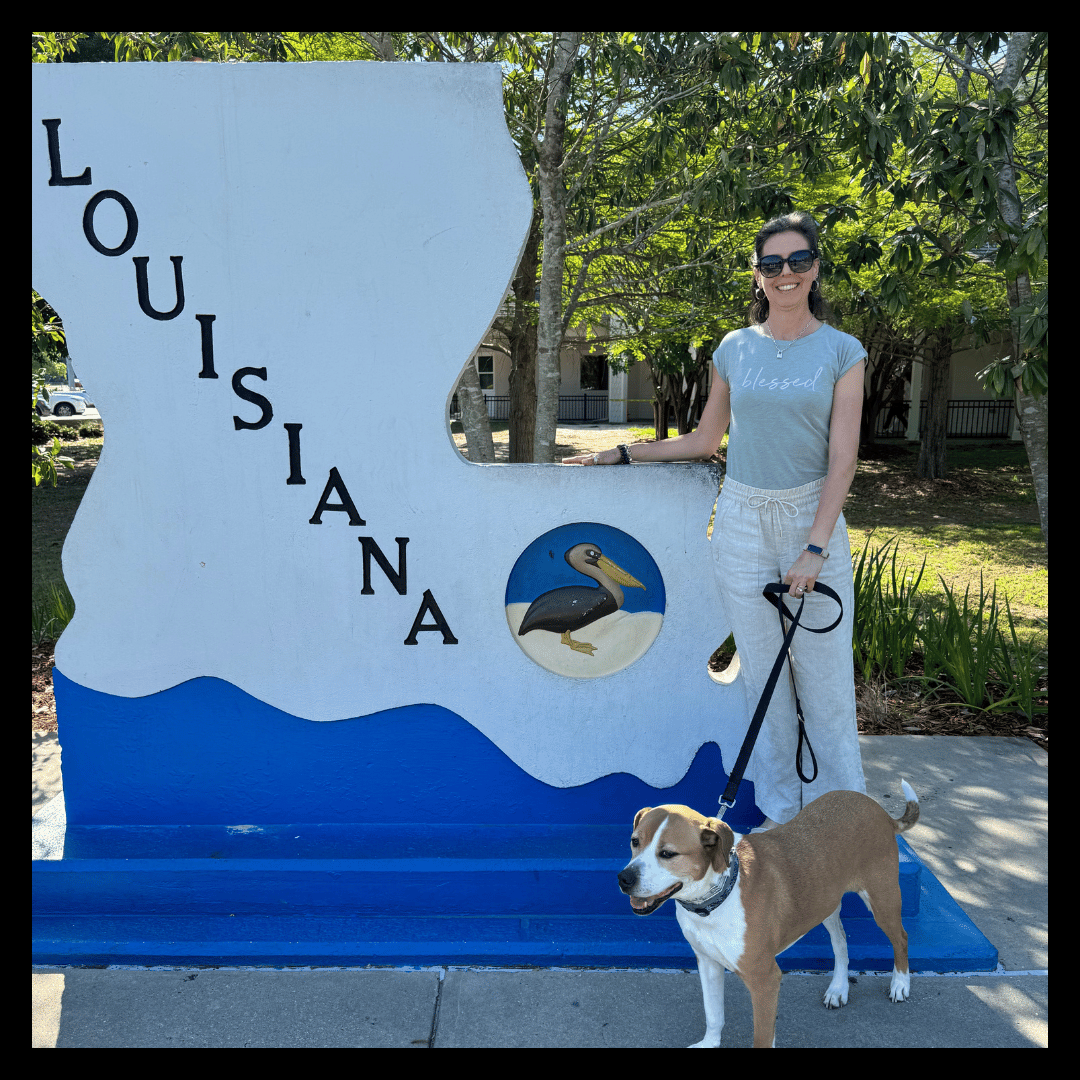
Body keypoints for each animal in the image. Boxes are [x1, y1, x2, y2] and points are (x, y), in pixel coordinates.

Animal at [618, 780, 920, 1048]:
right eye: (634, 841)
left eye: (668, 854)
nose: (624, 879)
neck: (717, 897)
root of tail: (877, 808)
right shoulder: (708, 963)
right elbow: (714, 1015)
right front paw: (709, 1044)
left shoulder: (765, 981)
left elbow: (762, 1039)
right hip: (825, 902)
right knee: (841, 941)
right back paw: (838, 989)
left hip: (882, 899)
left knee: (902, 938)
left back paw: (900, 984)